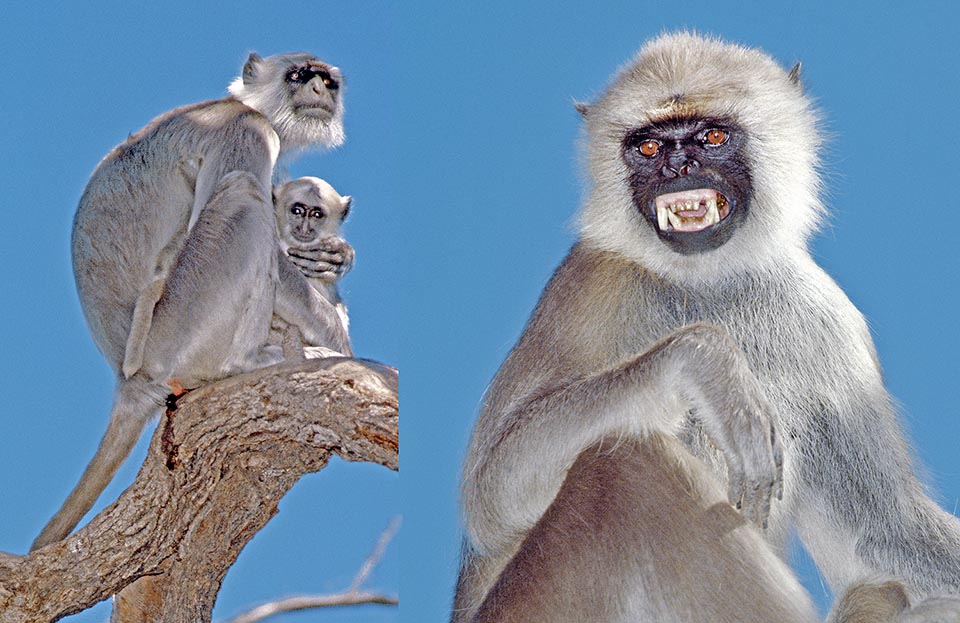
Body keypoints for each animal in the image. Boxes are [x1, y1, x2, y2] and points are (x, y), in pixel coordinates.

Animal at [454, 30, 960, 623]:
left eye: (711, 136)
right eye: (650, 148)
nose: (678, 167)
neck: (706, 282)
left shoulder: (827, 321)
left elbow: (884, 531)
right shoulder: (590, 289)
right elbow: (491, 497)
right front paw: (709, 364)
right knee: (629, 462)